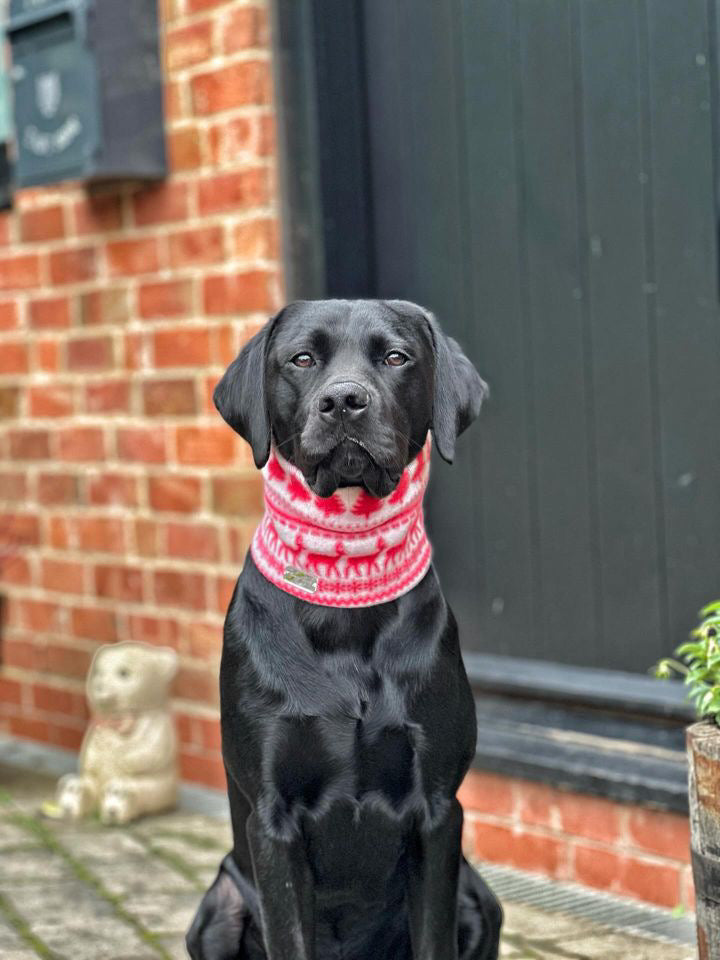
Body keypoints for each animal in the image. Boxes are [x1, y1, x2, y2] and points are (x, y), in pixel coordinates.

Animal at [187, 300, 500, 960]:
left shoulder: (438, 812)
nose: (344, 401)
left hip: (479, 896)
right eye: (302, 359)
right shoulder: (273, 820)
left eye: (396, 357)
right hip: (219, 907)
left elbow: (433, 935)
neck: (345, 599)